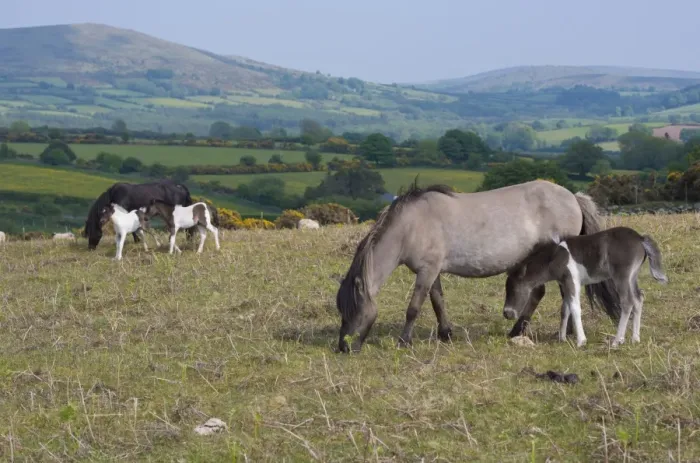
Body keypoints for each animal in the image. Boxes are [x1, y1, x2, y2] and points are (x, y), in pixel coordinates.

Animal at [335, 180, 620, 353]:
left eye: (354, 310)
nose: (343, 347)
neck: (411, 225)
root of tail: (572, 196)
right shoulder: (433, 271)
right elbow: (438, 301)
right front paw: (446, 333)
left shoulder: (427, 271)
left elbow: (414, 308)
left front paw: (404, 341)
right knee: (540, 292)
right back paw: (520, 330)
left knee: (565, 293)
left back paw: (564, 332)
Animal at [502, 226, 668, 348]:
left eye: (513, 289)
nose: (507, 313)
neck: (554, 258)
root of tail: (640, 238)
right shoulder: (565, 283)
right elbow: (565, 309)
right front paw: (562, 338)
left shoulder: (572, 280)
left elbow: (575, 308)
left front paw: (581, 341)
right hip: (632, 276)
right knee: (639, 298)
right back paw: (635, 339)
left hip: (622, 276)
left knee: (628, 302)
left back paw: (617, 340)